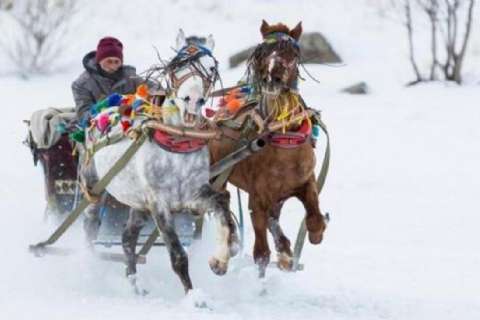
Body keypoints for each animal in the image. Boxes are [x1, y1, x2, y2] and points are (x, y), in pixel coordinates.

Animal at [85, 31, 240, 294]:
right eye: (177, 65)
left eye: (210, 68)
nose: (192, 99)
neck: (176, 142)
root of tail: (102, 111)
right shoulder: (159, 203)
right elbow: (178, 256)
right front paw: (194, 296)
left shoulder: (193, 196)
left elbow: (222, 205)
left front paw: (220, 260)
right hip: (96, 187)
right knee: (89, 223)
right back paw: (91, 268)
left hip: (138, 203)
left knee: (128, 238)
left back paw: (136, 285)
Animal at [209, 20, 326, 276]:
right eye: (262, 52)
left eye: (292, 53)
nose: (273, 78)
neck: (284, 139)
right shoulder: (258, 198)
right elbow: (261, 253)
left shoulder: (306, 181)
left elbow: (314, 217)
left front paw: (312, 237)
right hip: (217, 174)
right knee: (222, 204)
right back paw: (222, 257)